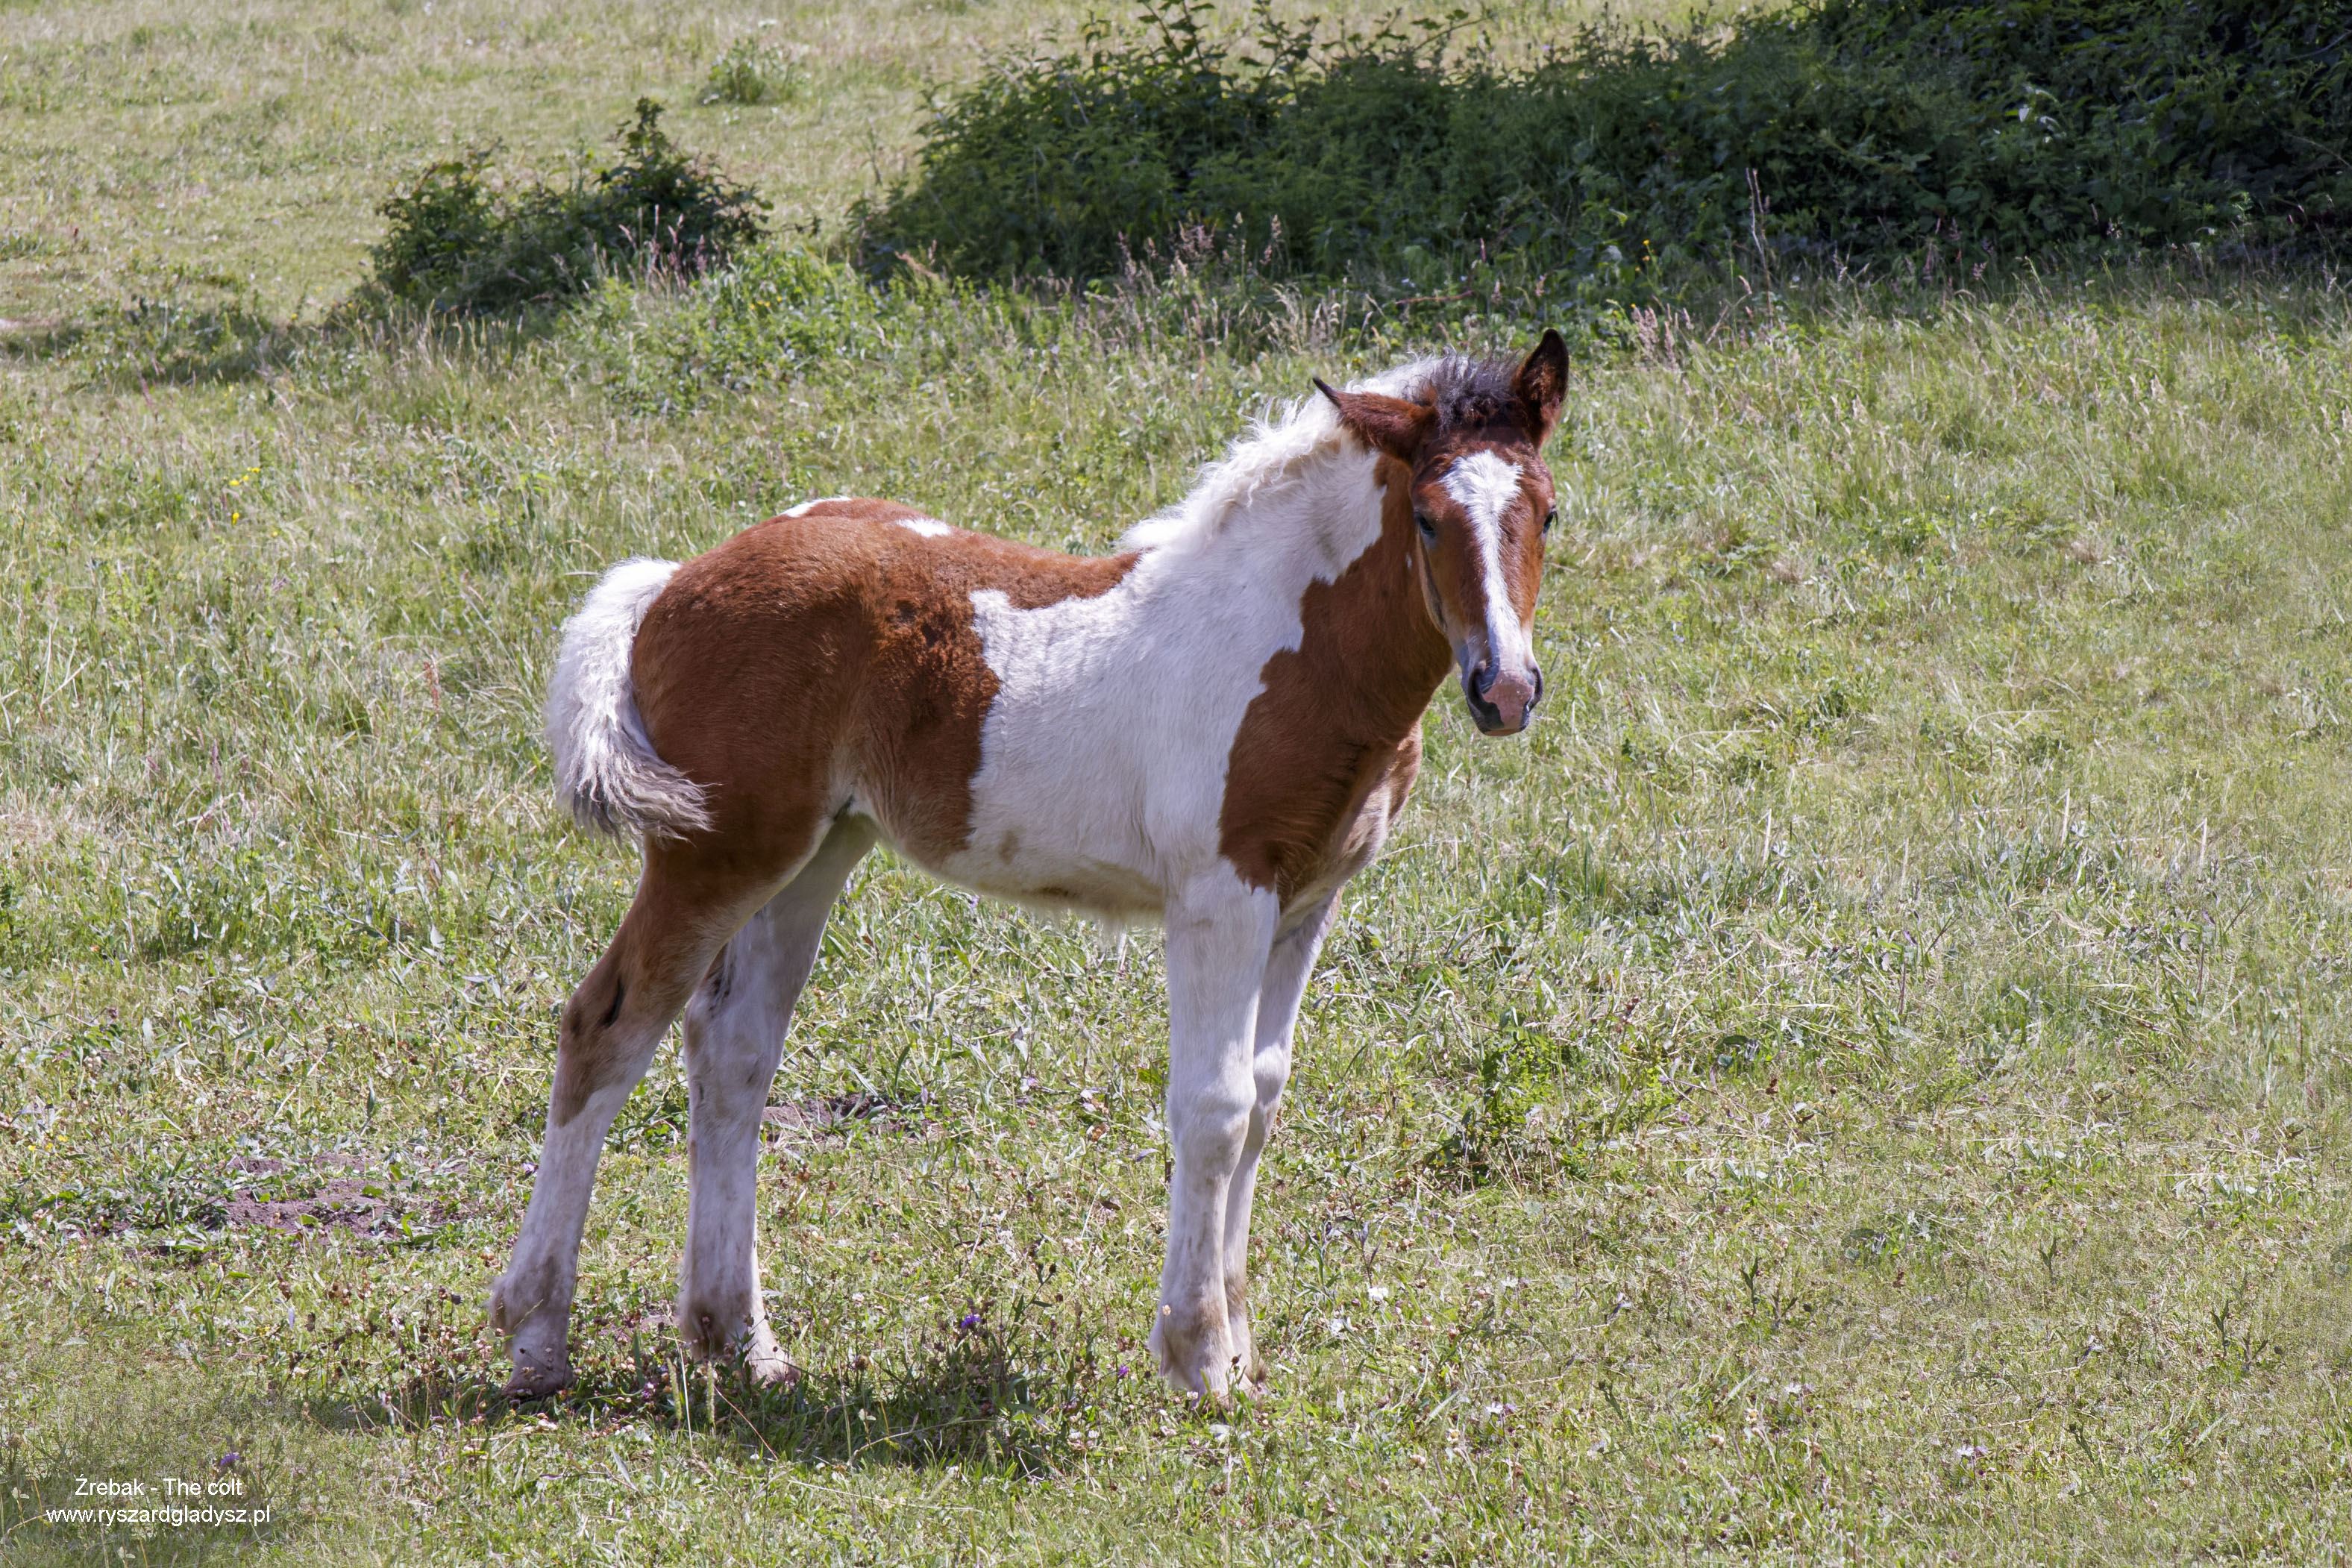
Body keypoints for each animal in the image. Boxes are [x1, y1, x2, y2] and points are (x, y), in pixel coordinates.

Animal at [491, 331, 1569, 1401]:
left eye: (1549, 511)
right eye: (1427, 519)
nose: (1505, 688)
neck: (1293, 650)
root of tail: (674, 580)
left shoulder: (1307, 901)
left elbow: (1263, 1096)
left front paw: (1241, 1345)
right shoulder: (1219, 896)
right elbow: (1213, 1107)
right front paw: (1199, 1356)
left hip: (811, 852)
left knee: (734, 1048)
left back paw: (738, 1340)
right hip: (710, 850)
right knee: (606, 1026)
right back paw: (537, 1335)